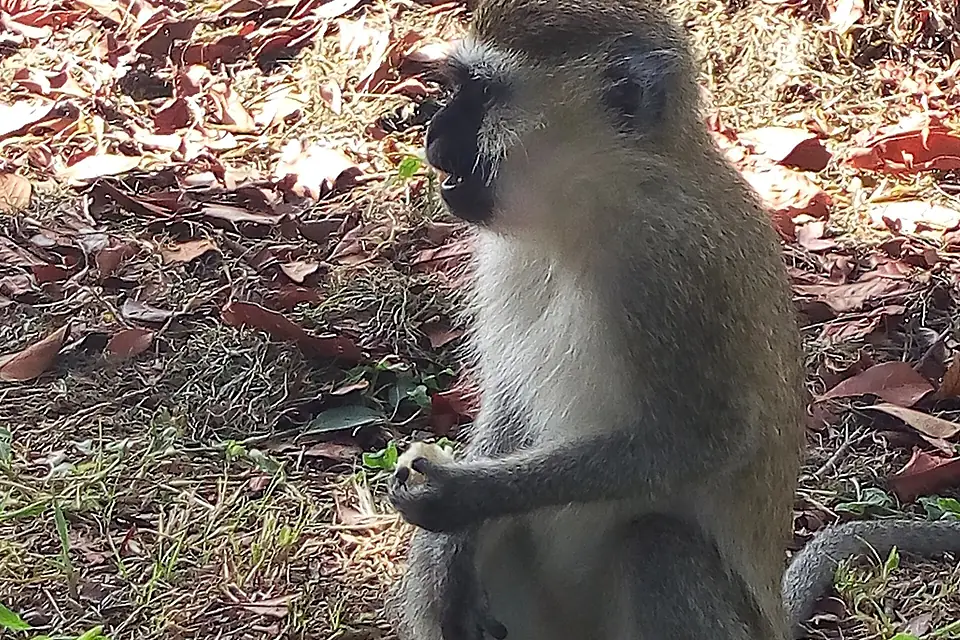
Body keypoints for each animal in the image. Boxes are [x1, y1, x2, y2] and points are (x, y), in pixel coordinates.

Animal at [383, 1, 960, 639]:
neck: (589, 208)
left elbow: (709, 436)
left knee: (657, 545)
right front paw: (452, 542)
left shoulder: (674, 262)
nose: (433, 135)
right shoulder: (505, 257)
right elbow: (509, 405)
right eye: (457, 88)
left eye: (483, 93)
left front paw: (464, 495)